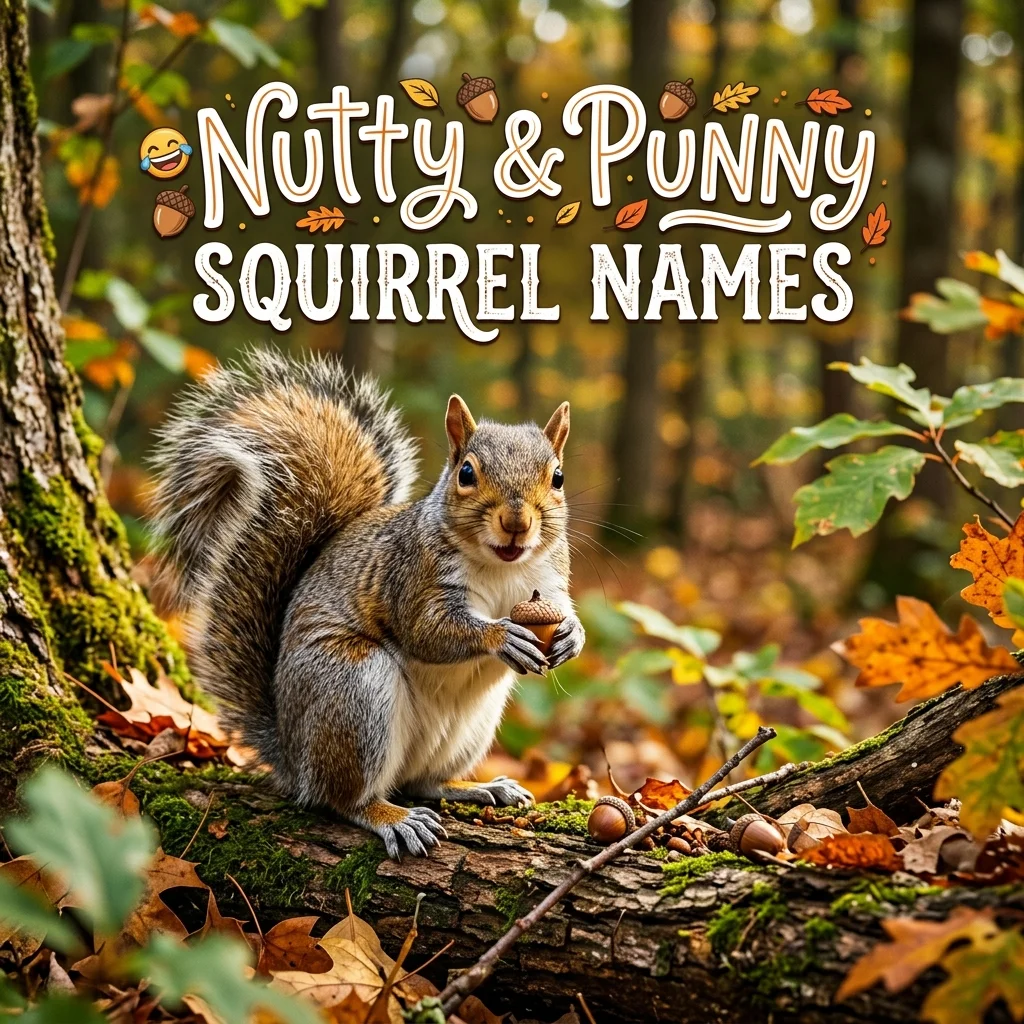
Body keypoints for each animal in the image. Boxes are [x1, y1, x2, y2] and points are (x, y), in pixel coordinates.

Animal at [150, 348, 585, 859]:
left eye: (558, 477)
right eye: (466, 473)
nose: (517, 523)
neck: (502, 567)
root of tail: (293, 756)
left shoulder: (549, 581)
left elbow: (562, 610)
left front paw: (572, 635)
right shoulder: (410, 576)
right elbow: (427, 631)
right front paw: (500, 636)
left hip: (471, 727)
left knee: (422, 782)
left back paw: (478, 787)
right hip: (353, 688)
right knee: (343, 798)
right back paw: (392, 818)